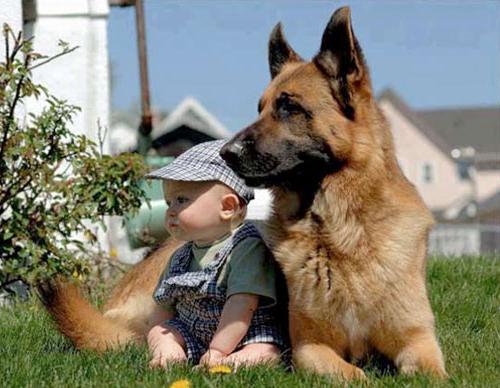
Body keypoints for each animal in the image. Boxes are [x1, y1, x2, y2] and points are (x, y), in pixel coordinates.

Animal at [39, 6, 446, 382]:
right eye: (260, 108)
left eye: (289, 107)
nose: (225, 152)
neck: (341, 234)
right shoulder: (311, 348)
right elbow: (355, 375)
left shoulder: (419, 340)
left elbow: (431, 373)